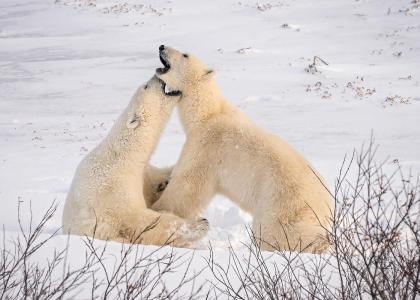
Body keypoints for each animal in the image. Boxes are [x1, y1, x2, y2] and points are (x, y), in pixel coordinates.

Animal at [61, 76, 209, 247]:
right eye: (146, 86)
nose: (157, 76)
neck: (124, 157)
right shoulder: (114, 192)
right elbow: (143, 221)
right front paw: (198, 225)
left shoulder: (143, 174)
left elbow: (157, 179)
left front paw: (167, 180)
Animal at [153, 46, 334, 253]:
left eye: (185, 55)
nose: (161, 46)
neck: (207, 114)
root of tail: (327, 203)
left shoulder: (206, 146)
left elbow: (186, 185)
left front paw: (157, 208)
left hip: (283, 202)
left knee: (276, 232)